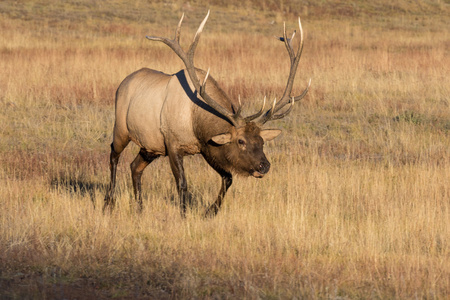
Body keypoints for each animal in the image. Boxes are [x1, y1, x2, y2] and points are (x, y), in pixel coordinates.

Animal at [104, 10, 312, 217]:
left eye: (261, 141)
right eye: (241, 141)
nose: (264, 165)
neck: (195, 122)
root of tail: (123, 83)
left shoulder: (205, 146)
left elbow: (228, 178)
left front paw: (210, 211)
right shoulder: (172, 144)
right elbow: (182, 183)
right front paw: (184, 215)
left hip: (150, 146)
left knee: (134, 167)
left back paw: (139, 208)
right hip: (121, 128)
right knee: (114, 155)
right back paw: (109, 203)